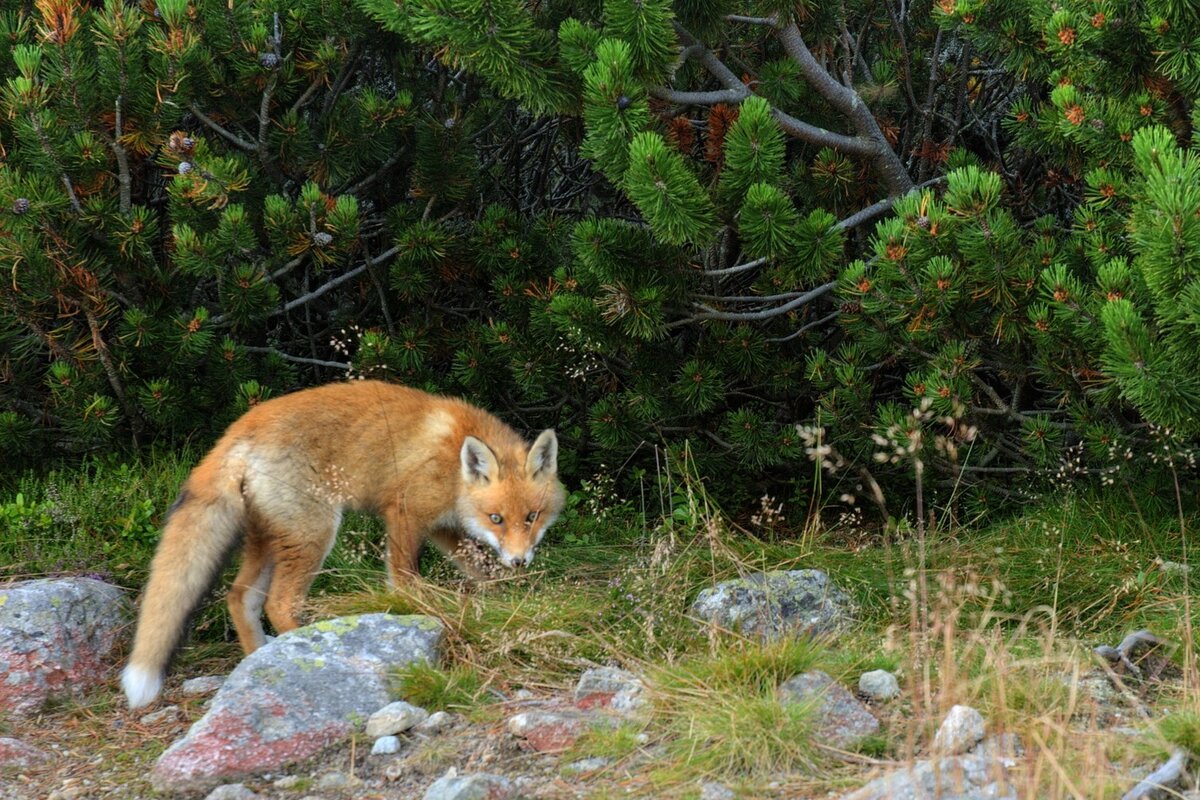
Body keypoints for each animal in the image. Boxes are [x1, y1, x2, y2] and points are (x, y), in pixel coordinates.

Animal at [121, 379, 561, 710]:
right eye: (496, 518)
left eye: (531, 517)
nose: (520, 561)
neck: (453, 465)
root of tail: (240, 429)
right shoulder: (404, 514)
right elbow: (405, 580)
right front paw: (415, 612)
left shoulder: (443, 529)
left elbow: (481, 570)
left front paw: (504, 601)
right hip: (313, 535)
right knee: (278, 603)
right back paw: (305, 648)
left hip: (270, 539)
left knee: (239, 596)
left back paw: (257, 656)